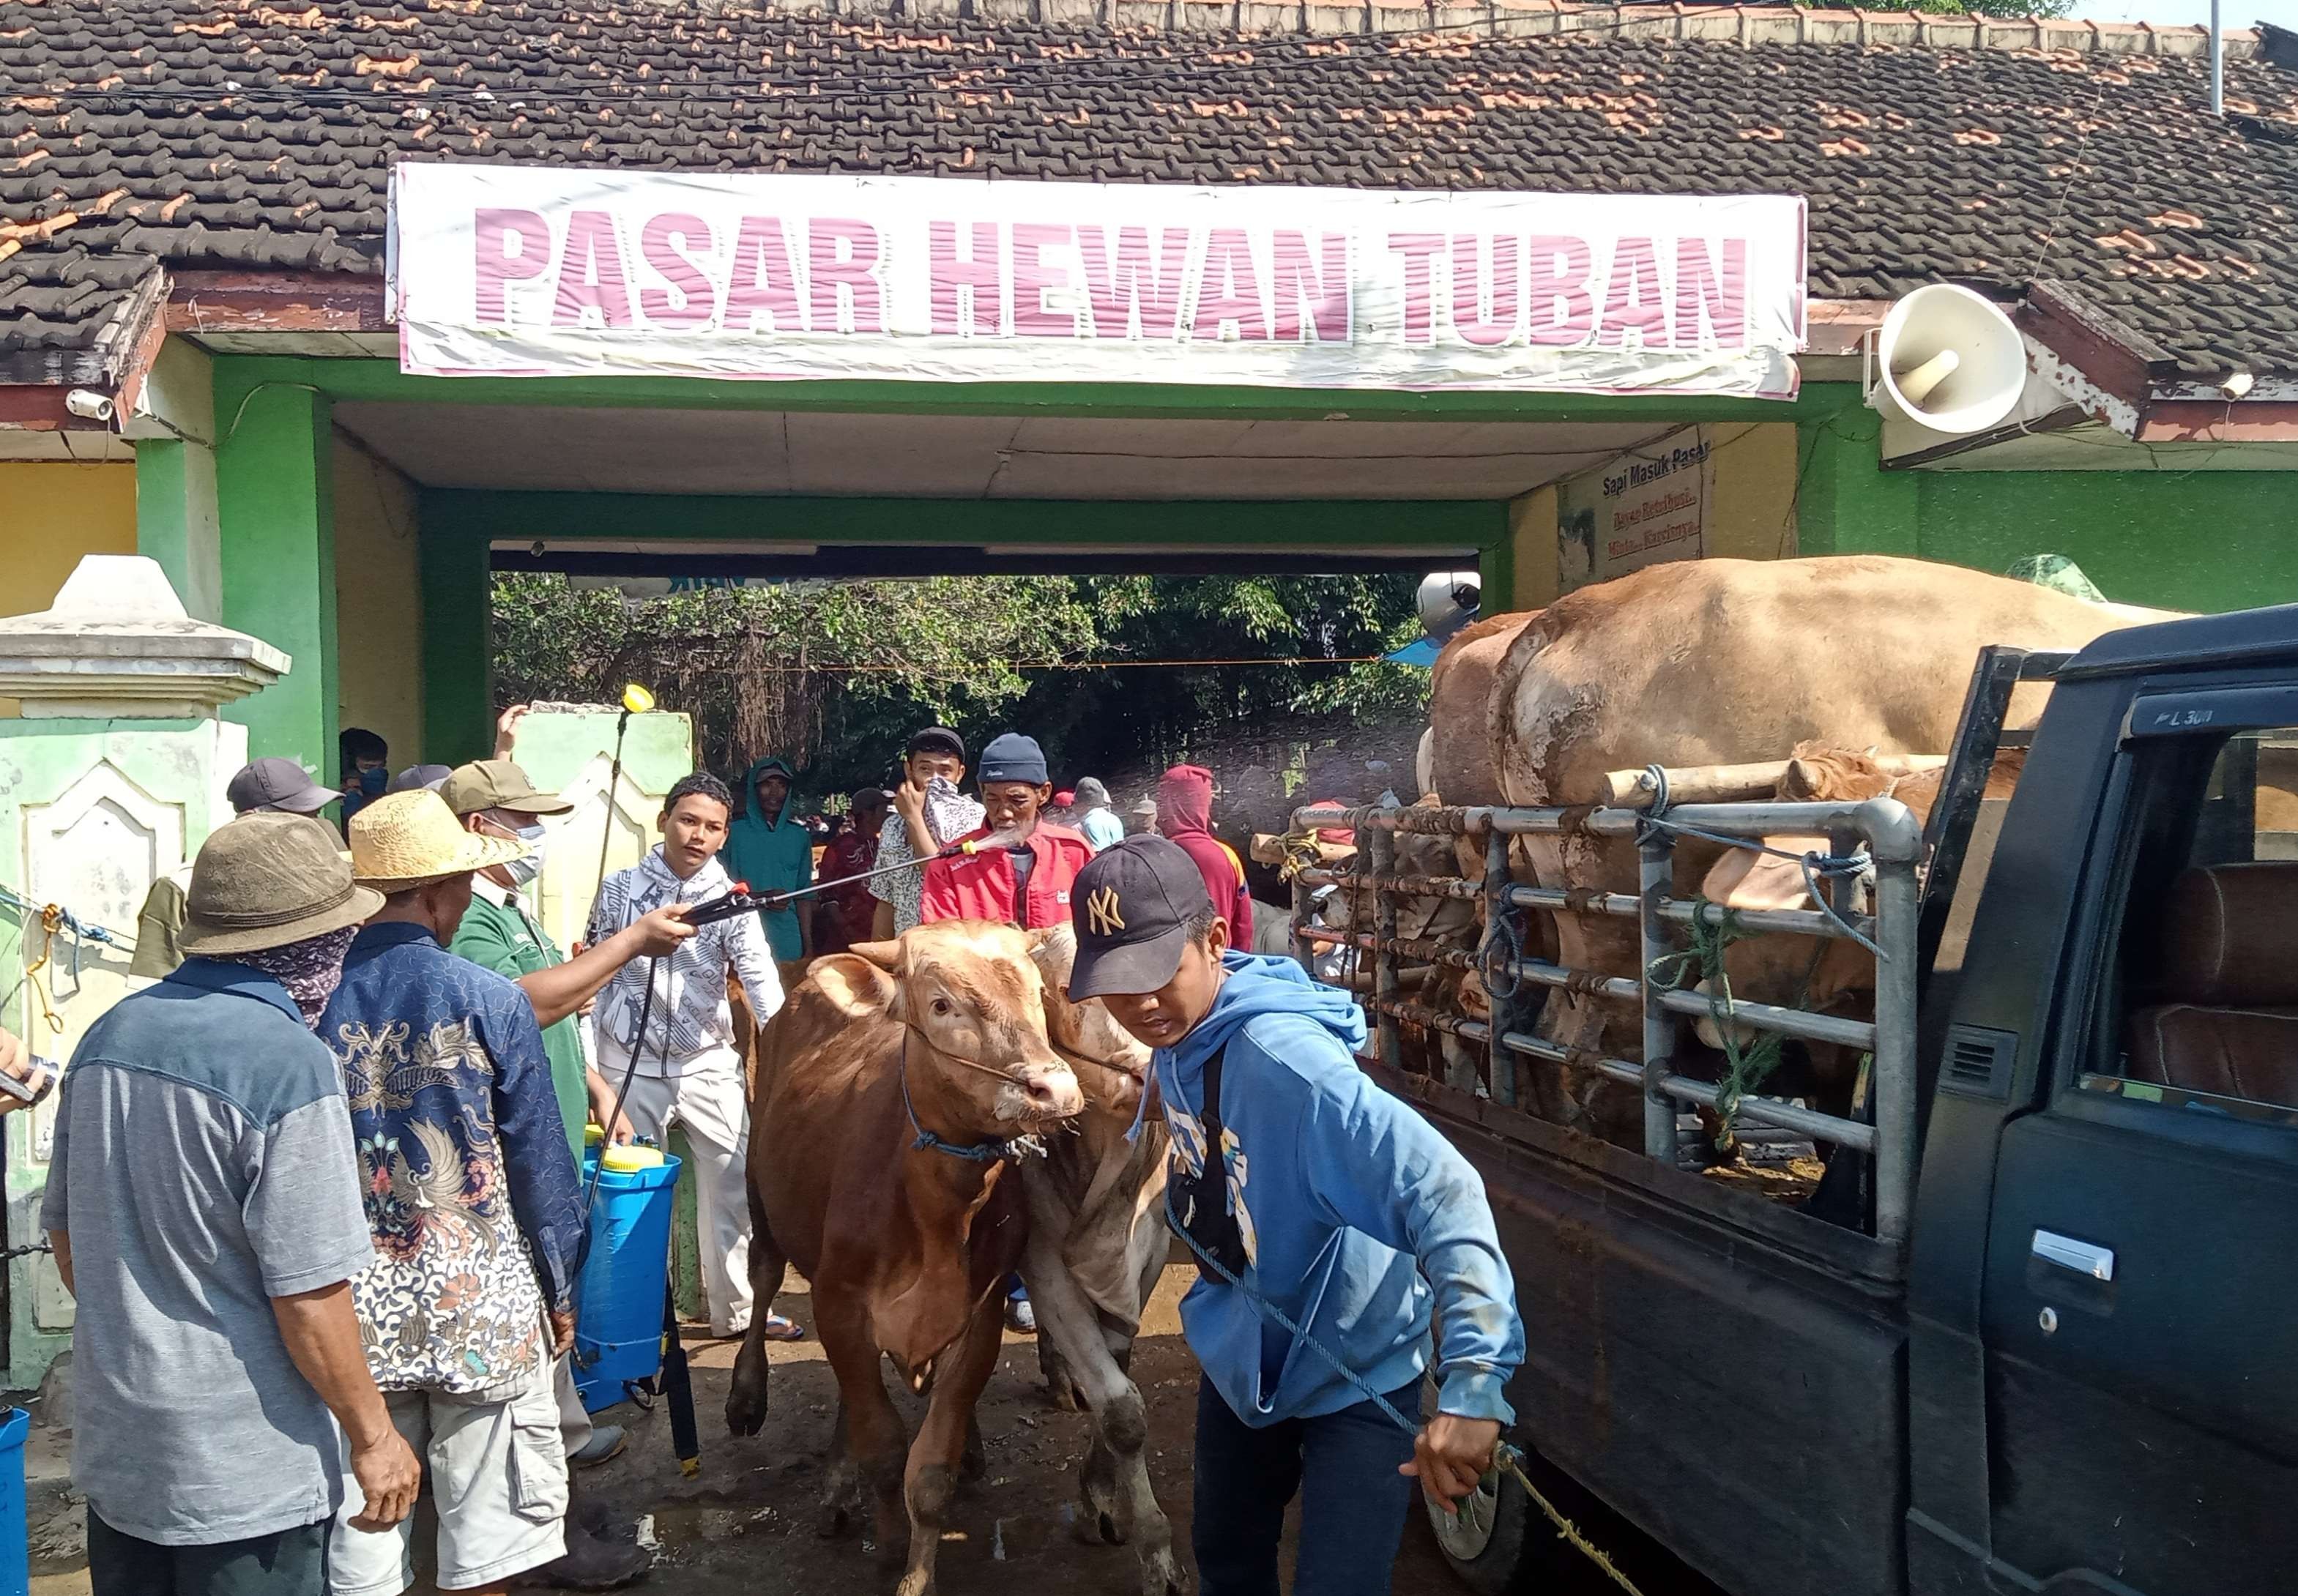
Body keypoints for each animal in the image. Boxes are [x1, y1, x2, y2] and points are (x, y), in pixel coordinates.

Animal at [730, 922, 1089, 1596]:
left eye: (1037, 993)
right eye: (942, 1005)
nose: (1053, 1088)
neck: (934, 1217)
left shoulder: (978, 1318)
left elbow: (928, 1469)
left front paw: (917, 1568)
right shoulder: (840, 1305)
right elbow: (882, 1443)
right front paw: (892, 1543)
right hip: (759, 1186)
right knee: (763, 1277)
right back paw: (750, 1398)